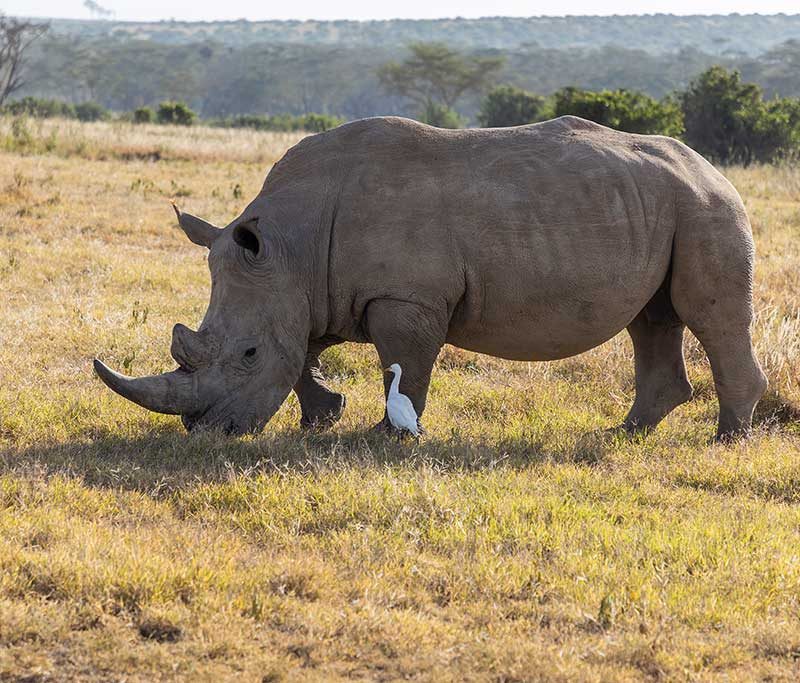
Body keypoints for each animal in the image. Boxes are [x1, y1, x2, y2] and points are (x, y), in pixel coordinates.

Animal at [94, 116, 767, 440]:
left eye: (247, 354)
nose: (207, 432)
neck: (291, 245)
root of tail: (710, 165)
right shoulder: (306, 288)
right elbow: (305, 351)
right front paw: (322, 418)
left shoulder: (405, 297)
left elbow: (406, 363)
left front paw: (383, 434)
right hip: (661, 204)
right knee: (651, 320)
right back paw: (625, 434)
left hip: (707, 206)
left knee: (708, 316)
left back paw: (726, 440)